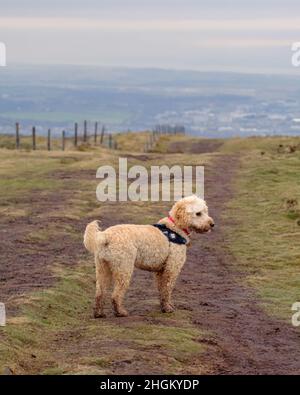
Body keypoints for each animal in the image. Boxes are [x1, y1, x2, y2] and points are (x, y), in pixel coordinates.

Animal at [83, 196, 214, 318]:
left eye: (205, 211)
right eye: (198, 213)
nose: (212, 224)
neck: (175, 227)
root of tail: (105, 235)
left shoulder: (160, 271)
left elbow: (161, 290)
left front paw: (165, 306)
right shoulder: (171, 269)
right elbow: (167, 290)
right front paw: (167, 309)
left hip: (102, 268)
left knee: (99, 293)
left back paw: (99, 313)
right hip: (124, 269)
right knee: (116, 295)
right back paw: (120, 312)